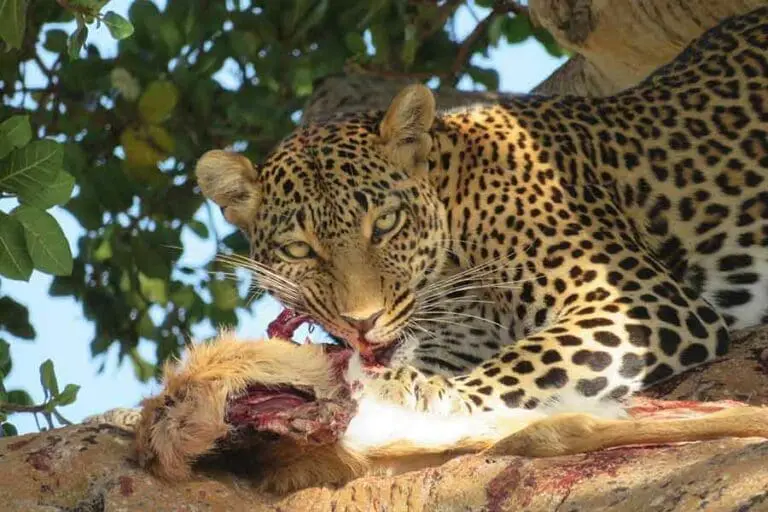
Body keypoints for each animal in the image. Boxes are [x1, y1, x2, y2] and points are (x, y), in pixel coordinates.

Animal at [89, 6, 768, 494]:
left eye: (385, 224)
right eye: (302, 249)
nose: (361, 324)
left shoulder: (637, 301)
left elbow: (522, 364)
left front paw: (401, 395)